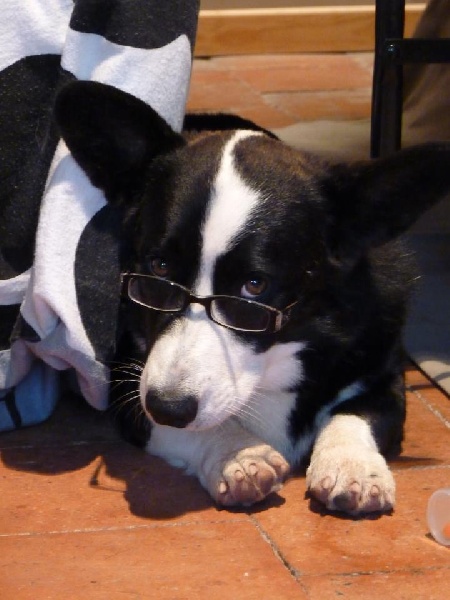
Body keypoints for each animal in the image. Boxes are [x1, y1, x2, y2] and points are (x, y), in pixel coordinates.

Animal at [55, 81, 450, 515]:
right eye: (158, 268)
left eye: (254, 286)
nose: (167, 405)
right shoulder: (129, 387)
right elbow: (189, 428)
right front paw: (240, 455)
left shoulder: (384, 376)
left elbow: (355, 413)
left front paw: (352, 467)